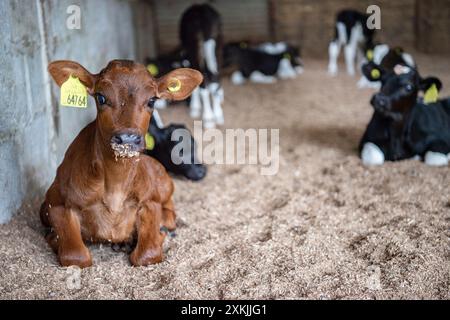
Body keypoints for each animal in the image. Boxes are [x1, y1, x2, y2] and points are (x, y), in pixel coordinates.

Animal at [40, 60, 202, 268]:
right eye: (101, 97)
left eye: (152, 100)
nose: (127, 139)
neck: (115, 187)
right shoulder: (55, 202)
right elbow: (76, 256)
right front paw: (54, 238)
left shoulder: (150, 202)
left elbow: (147, 254)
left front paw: (155, 236)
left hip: (164, 182)